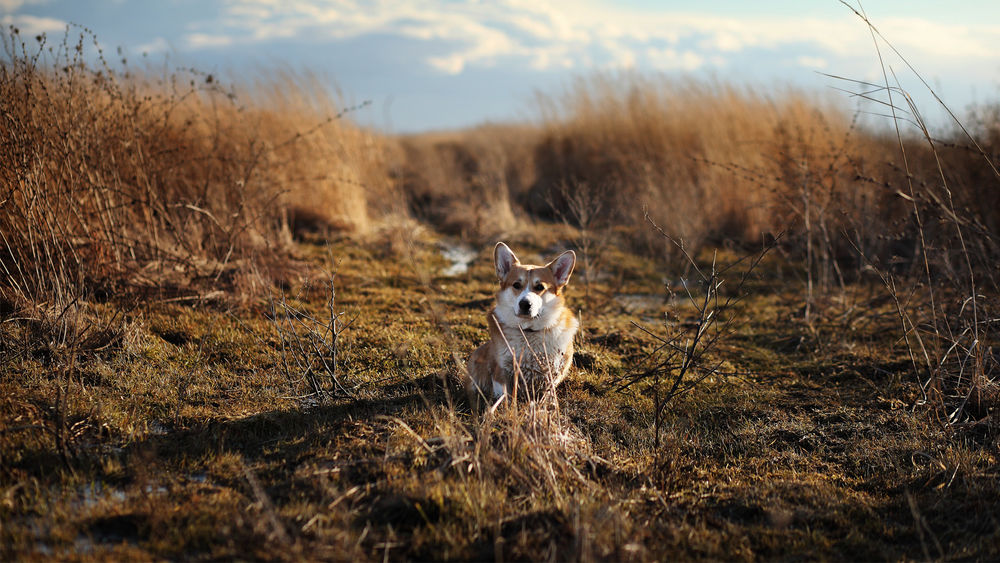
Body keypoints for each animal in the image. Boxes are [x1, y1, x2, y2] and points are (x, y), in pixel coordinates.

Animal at [466, 242, 580, 406]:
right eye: (516, 285)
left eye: (540, 287)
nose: (525, 304)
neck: (528, 331)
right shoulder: (502, 371)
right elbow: (504, 396)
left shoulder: (552, 374)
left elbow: (548, 395)